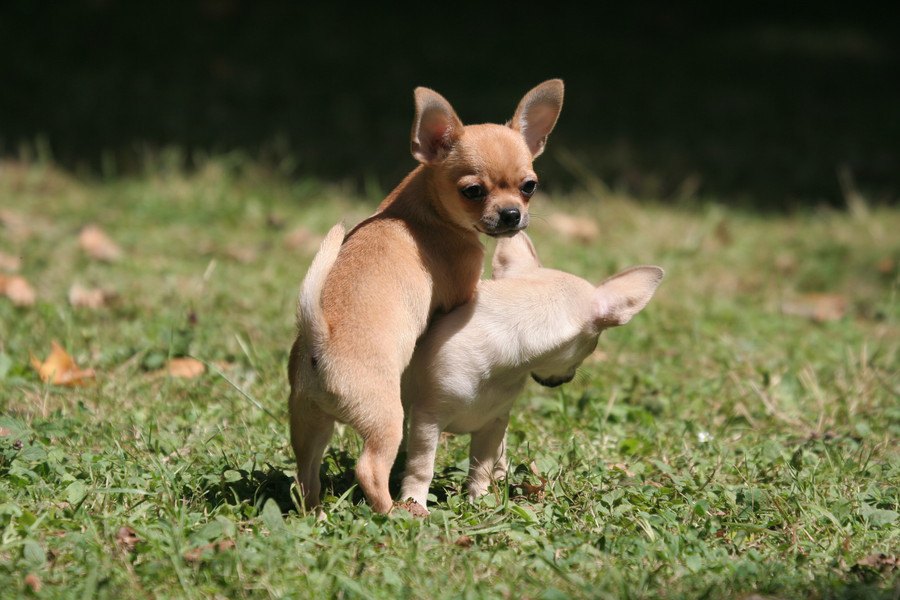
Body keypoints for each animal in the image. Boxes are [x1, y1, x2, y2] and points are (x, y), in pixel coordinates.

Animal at [290, 78, 564, 510]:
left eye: (529, 187)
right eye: (473, 191)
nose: (511, 215)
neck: (423, 210)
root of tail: (321, 342)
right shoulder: (463, 289)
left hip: (307, 420)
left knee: (306, 474)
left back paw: (316, 512)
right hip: (385, 418)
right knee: (370, 468)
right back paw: (395, 512)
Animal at [400, 232, 660, 508]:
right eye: (592, 348)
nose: (567, 378)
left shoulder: (494, 423)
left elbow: (481, 467)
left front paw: (480, 500)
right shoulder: (428, 420)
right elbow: (421, 466)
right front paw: (414, 503)